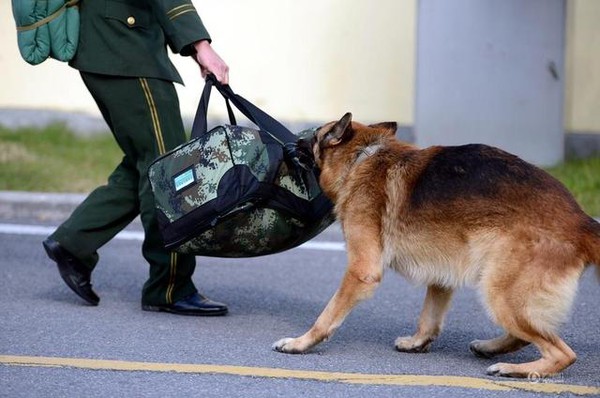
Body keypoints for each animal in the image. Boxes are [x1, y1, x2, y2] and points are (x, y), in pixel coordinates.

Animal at [274, 112, 600, 380]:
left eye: (313, 135)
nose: (289, 144)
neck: (360, 158)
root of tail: (582, 221)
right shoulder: (441, 273)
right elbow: (429, 318)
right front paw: (417, 342)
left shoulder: (361, 271)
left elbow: (327, 315)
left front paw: (300, 343)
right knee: (526, 336)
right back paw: (491, 348)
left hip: (499, 292)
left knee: (562, 353)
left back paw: (516, 369)